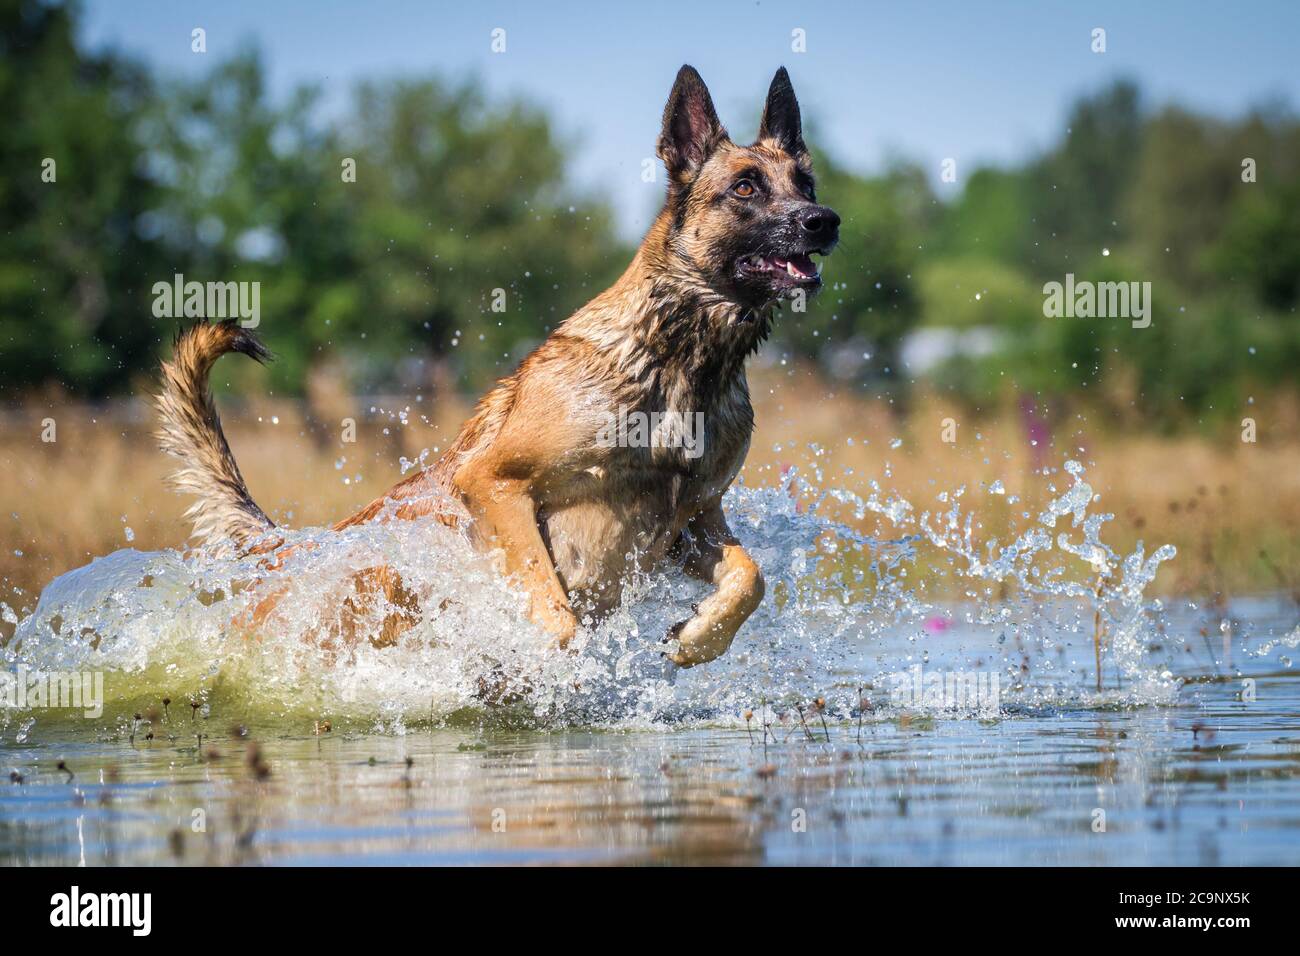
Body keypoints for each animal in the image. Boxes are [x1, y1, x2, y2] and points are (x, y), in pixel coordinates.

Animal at [154, 63, 842, 671]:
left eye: (805, 184)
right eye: (746, 187)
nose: (825, 221)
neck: (683, 364)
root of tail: (292, 546)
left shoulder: (695, 520)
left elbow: (751, 577)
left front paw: (697, 637)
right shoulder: (493, 482)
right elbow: (557, 615)